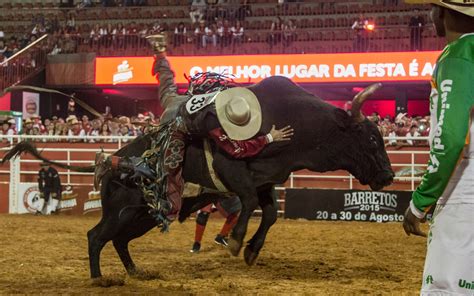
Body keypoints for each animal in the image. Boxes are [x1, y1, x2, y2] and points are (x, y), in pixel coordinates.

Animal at [0, 76, 392, 280]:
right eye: (371, 139)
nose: (388, 175)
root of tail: (113, 162)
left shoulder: (266, 181)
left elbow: (269, 212)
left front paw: (251, 250)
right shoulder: (233, 169)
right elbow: (250, 203)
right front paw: (236, 241)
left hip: (141, 216)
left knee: (119, 241)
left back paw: (136, 272)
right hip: (120, 211)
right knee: (96, 236)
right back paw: (98, 279)